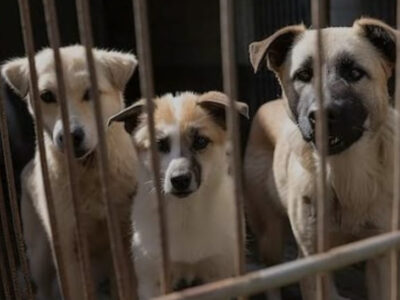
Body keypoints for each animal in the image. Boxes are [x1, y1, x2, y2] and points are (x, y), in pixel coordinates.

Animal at [1, 45, 138, 300]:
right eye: (47, 96)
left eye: (90, 93)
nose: (71, 136)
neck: (88, 172)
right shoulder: (68, 249)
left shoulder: (123, 240)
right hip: (40, 256)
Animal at [108, 90, 248, 298]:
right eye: (159, 144)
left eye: (200, 141)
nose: (180, 179)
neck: (185, 212)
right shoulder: (152, 280)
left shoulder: (219, 273)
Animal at [245, 18, 398, 300]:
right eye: (303, 75)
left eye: (355, 73)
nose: (321, 115)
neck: (346, 174)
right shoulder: (310, 258)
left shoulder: (382, 254)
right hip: (269, 236)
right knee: (271, 278)